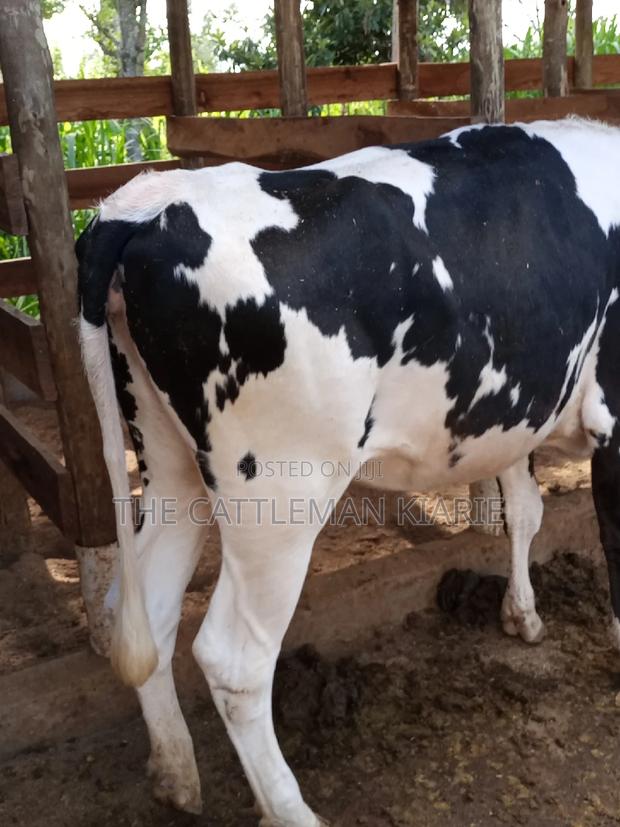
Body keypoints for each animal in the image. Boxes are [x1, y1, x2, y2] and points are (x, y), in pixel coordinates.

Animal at [77, 117, 620, 826]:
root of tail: (141, 207)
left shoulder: (521, 406)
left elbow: (526, 510)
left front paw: (523, 617)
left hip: (169, 466)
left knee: (148, 607)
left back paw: (175, 774)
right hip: (280, 490)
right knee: (233, 659)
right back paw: (290, 809)